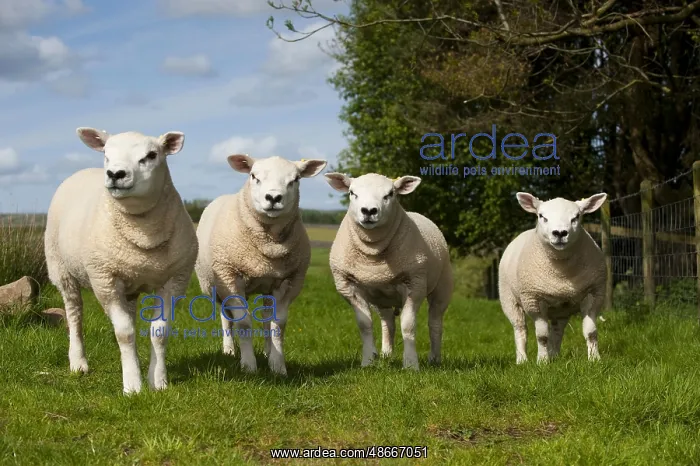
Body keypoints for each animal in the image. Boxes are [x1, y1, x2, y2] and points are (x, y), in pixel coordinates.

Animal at [44, 128, 197, 394]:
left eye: (151, 155)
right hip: (61, 270)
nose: (115, 173)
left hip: (129, 283)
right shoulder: (105, 279)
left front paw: (158, 381)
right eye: (106, 153)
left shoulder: (175, 280)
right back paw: (78, 362)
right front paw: (133, 385)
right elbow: (124, 333)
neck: (143, 235)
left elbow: (159, 332)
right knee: (74, 314)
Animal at [195, 154, 327, 376]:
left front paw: (278, 366)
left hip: (266, 287)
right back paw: (229, 350)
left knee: (265, 319)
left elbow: (277, 325)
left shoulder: (288, 282)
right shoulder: (230, 277)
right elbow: (243, 322)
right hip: (217, 285)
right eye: (253, 176)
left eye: (295, 179)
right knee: (226, 318)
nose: (273, 198)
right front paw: (248, 366)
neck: (268, 249)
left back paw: (267, 352)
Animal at [324, 173, 453, 370]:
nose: (369, 211)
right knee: (388, 323)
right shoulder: (348, 286)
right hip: (381, 297)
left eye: (390, 194)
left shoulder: (414, 284)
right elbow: (365, 325)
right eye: (352, 192)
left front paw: (410, 364)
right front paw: (368, 361)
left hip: (442, 286)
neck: (373, 255)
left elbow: (408, 326)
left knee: (435, 322)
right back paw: (386, 354)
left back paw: (435, 358)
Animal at [498, 192, 608, 364]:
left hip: (561, 309)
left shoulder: (594, 294)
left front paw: (594, 359)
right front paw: (542, 361)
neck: (562, 274)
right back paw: (522, 359)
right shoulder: (534, 299)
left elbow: (591, 332)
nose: (560, 233)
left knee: (557, 331)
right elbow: (542, 336)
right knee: (520, 328)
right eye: (541, 216)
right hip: (509, 299)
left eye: (577, 216)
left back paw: (554, 355)